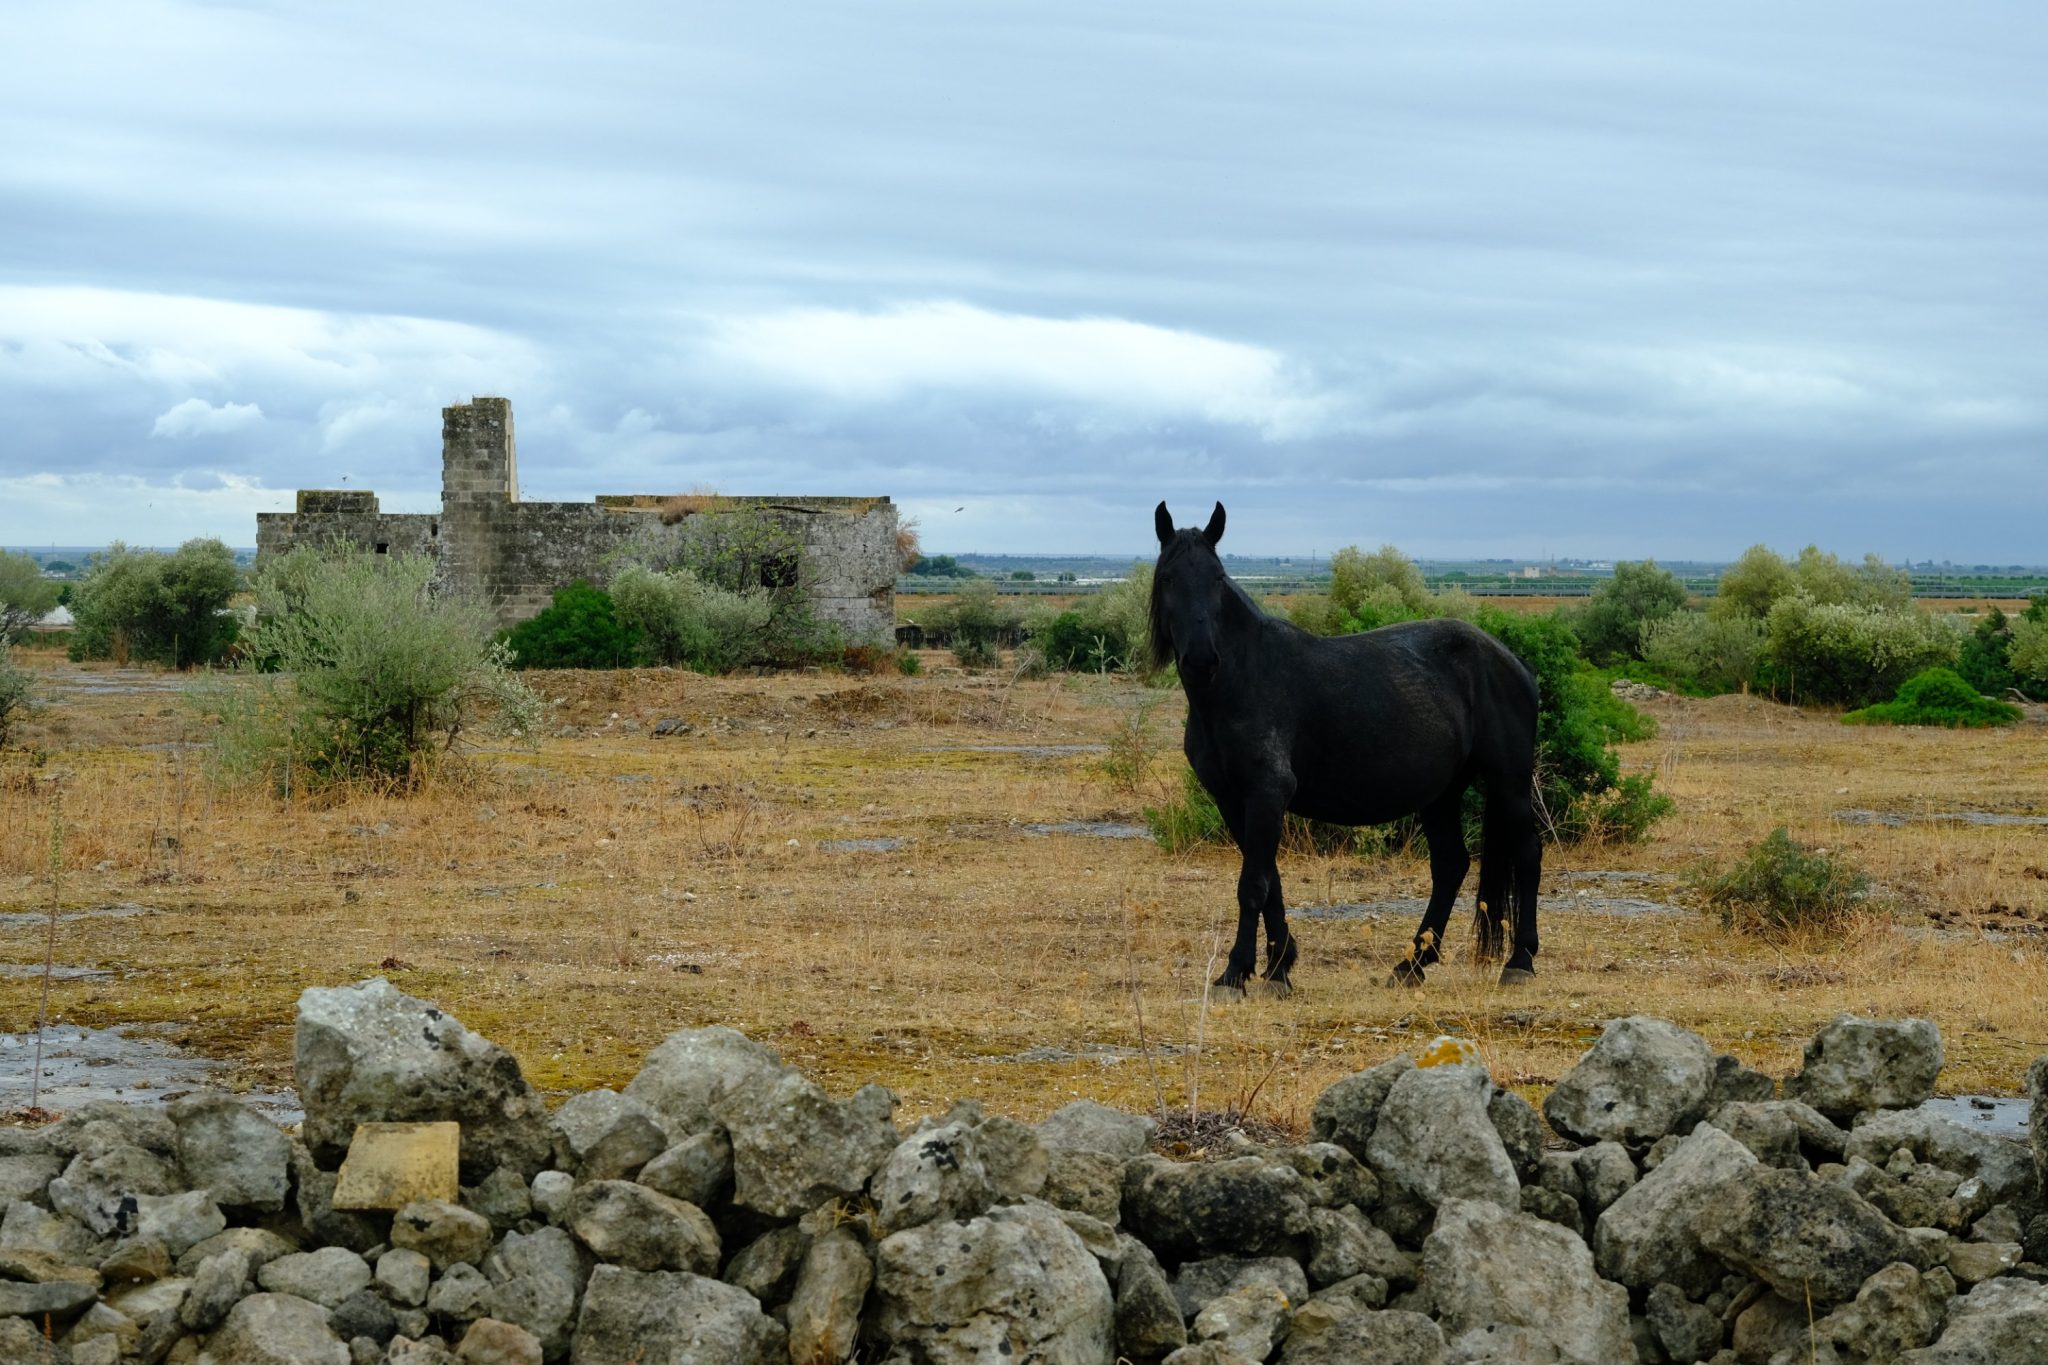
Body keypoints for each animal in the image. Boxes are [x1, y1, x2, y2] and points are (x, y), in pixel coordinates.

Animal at [1149, 501, 1544, 990]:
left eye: (1218, 577)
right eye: (1168, 577)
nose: (1202, 660)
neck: (1241, 682)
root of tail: (1511, 661)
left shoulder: (1266, 792)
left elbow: (1253, 885)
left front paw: (1237, 971)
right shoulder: (1232, 798)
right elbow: (1270, 880)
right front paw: (1279, 968)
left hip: (1509, 780)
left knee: (1527, 853)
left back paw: (1520, 960)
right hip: (1441, 793)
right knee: (1451, 865)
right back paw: (1412, 964)